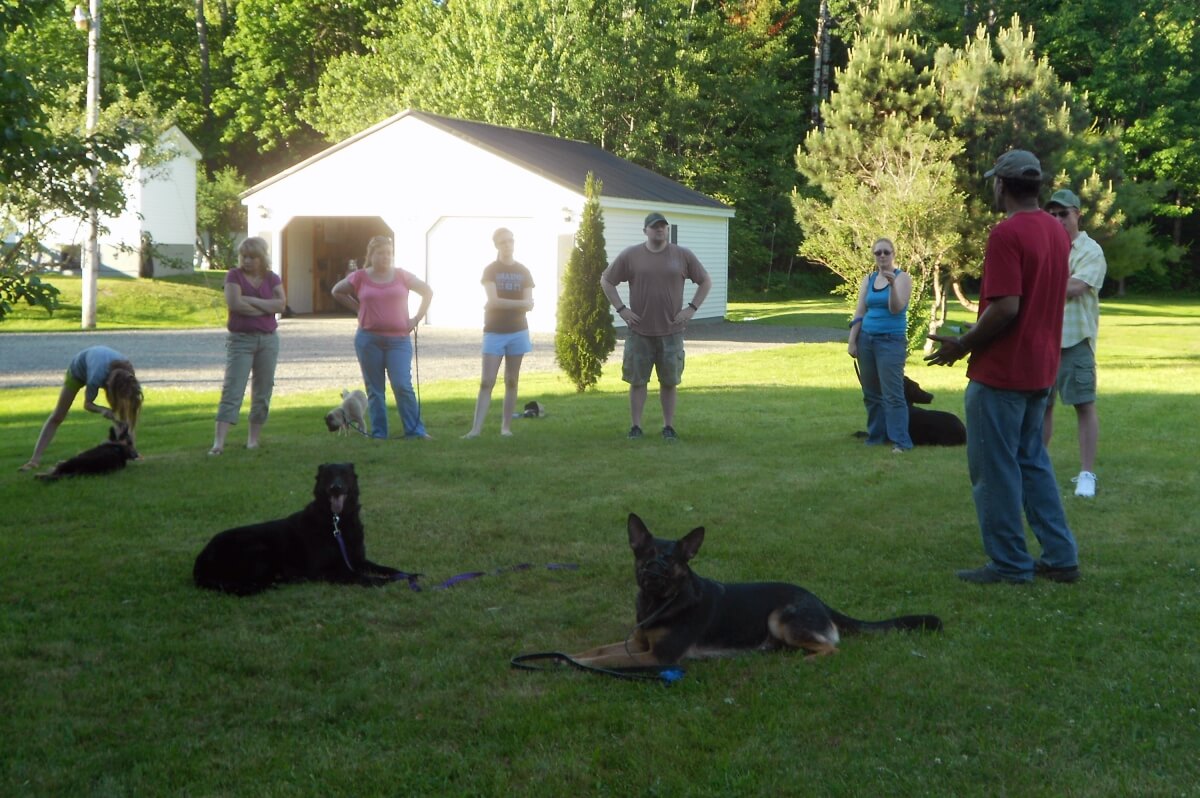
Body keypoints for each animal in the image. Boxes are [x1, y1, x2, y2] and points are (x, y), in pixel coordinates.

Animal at [192, 460, 405, 590]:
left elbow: (387, 568)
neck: (337, 522)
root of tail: (200, 561)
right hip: (259, 550)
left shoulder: (358, 560)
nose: (335, 488)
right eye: (328, 476)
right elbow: (358, 576)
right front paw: (380, 581)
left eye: (344, 475)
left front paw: (404, 575)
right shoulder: (326, 570)